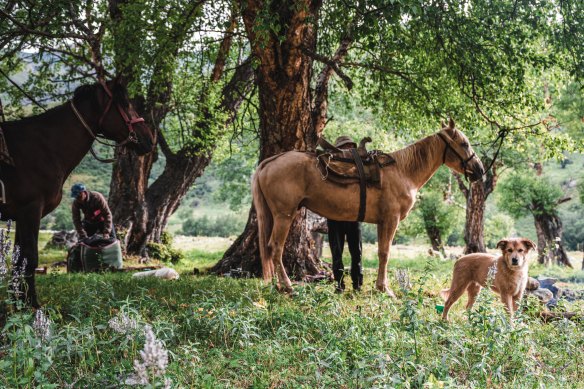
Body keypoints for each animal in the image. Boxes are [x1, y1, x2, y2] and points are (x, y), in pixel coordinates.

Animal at [0, 79, 155, 306]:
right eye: (125, 103)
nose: (149, 139)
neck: (43, 147)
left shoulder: (22, 215)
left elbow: (19, 259)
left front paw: (17, 303)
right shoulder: (30, 210)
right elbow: (28, 258)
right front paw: (32, 306)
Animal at [253, 117, 486, 294]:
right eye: (464, 144)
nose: (480, 170)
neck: (403, 171)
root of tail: (270, 162)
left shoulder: (382, 222)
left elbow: (378, 253)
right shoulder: (390, 220)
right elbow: (385, 253)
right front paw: (384, 288)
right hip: (284, 215)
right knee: (275, 247)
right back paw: (287, 286)